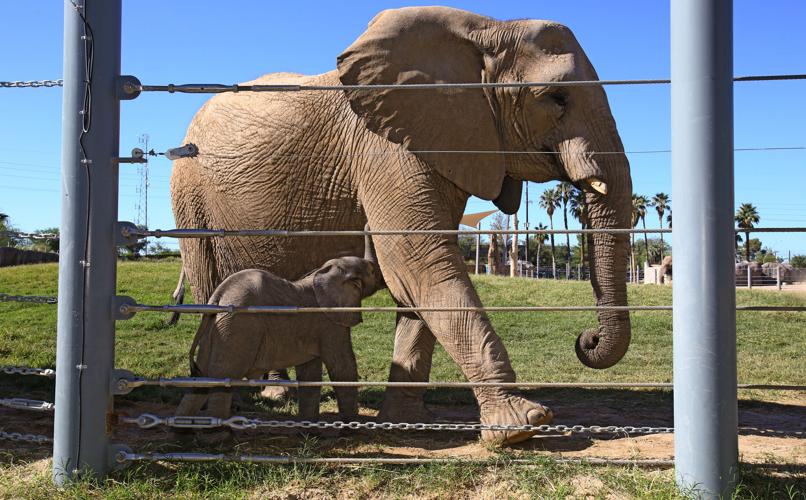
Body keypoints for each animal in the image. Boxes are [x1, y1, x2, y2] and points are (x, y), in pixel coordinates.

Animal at [176, 231, 384, 421]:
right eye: (372, 271)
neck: (324, 271)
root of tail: (219, 295)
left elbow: (309, 373)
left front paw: (309, 426)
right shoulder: (330, 323)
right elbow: (342, 367)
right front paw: (351, 426)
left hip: (215, 330)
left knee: (201, 381)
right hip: (237, 329)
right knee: (222, 379)